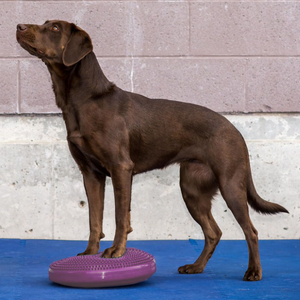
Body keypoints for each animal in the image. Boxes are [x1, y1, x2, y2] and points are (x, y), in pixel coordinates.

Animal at [16, 19, 288, 280]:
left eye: (54, 27)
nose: (19, 26)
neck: (83, 100)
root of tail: (235, 131)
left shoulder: (120, 168)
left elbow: (120, 217)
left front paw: (116, 251)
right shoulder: (91, 174)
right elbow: (94, 219)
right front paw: (90, 253)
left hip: (231, 185)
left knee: (251, 231)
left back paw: (253, 272)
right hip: (192, 189)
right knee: (214, 232)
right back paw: (196, 267)